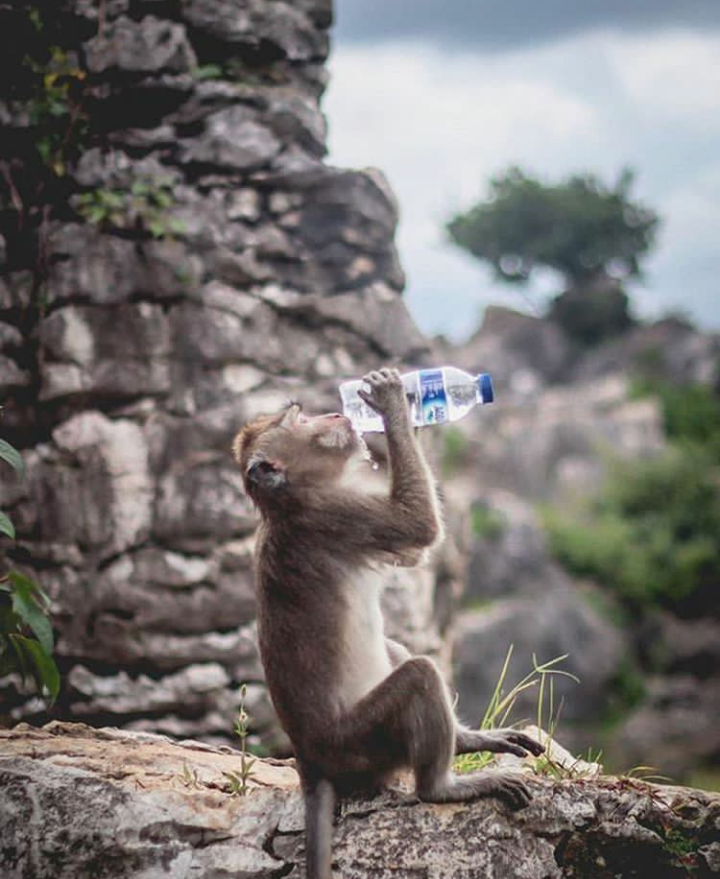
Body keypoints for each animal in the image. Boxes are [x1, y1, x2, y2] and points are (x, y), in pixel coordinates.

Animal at [233, 368, 544, 879]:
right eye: (299, 419)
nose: (334, 412)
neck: (295, 497)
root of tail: (309, 760)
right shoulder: (338, 514)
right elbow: (418, 528)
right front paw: (394, 399)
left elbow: (414, 551)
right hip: (363, 741)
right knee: (419, 675)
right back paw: (442, 787)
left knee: (398, 651)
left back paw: (466, 740)